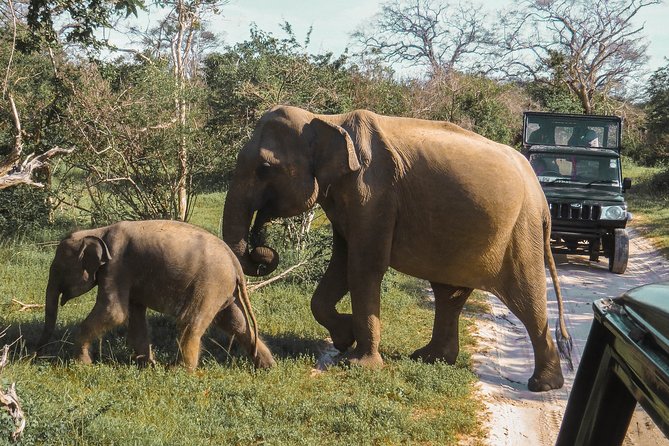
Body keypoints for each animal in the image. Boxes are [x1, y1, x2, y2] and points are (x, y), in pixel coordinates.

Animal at [37, 220, 274, 370]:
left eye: (58, 269)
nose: (36, 353)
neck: (98, 231)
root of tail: (236, 265)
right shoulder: (129, 276)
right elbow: (133, 315)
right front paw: (146, 364)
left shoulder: (116, 267)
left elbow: (114, 312)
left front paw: (82, 364)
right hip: (223, 290)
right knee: (235, 323)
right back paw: (267, 366)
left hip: (210, 283)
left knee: (191, 322)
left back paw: (179, 371)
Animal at [223, 104, 568, 390]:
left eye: (264, 168)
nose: (262, 250)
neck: (327, 120)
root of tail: (542, 198)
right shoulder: (350, 199)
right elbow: (341, 264)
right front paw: (344, 339)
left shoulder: (373, 193)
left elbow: (363, 267)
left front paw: (359, 365)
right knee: (449, 295)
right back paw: (429, 358)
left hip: (521, 231)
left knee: (526, 299)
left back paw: (542, 385)